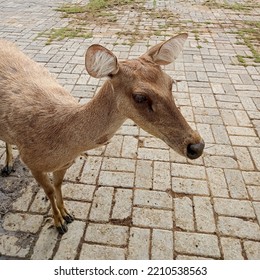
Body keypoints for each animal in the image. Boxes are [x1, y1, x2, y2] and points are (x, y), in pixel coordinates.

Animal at [0, 33, 204, 234]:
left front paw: (67, 214)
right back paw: (7, 166)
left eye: (171, 83)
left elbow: (57, 185)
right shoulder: (31, 161)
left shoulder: (65, 164)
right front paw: (59, 223)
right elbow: (49, 191)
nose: (197, 146)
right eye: (139, 97)